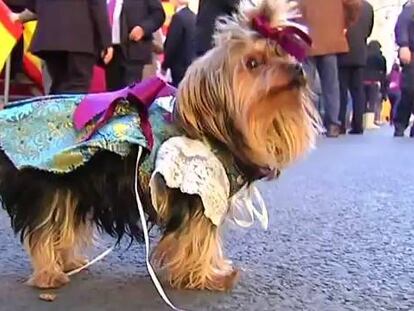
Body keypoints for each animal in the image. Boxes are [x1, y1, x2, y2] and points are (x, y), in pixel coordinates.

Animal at [0, 0, 320, 292]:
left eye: (281, 53)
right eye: (253, 63)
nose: (296, 68)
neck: (216, 131)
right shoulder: (198, 196)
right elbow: (198, 239)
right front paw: (208, 276)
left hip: (72, 188)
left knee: (63, 226)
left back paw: (67, 262)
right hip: (50, 183)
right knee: (43, 230)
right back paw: (49, 274)